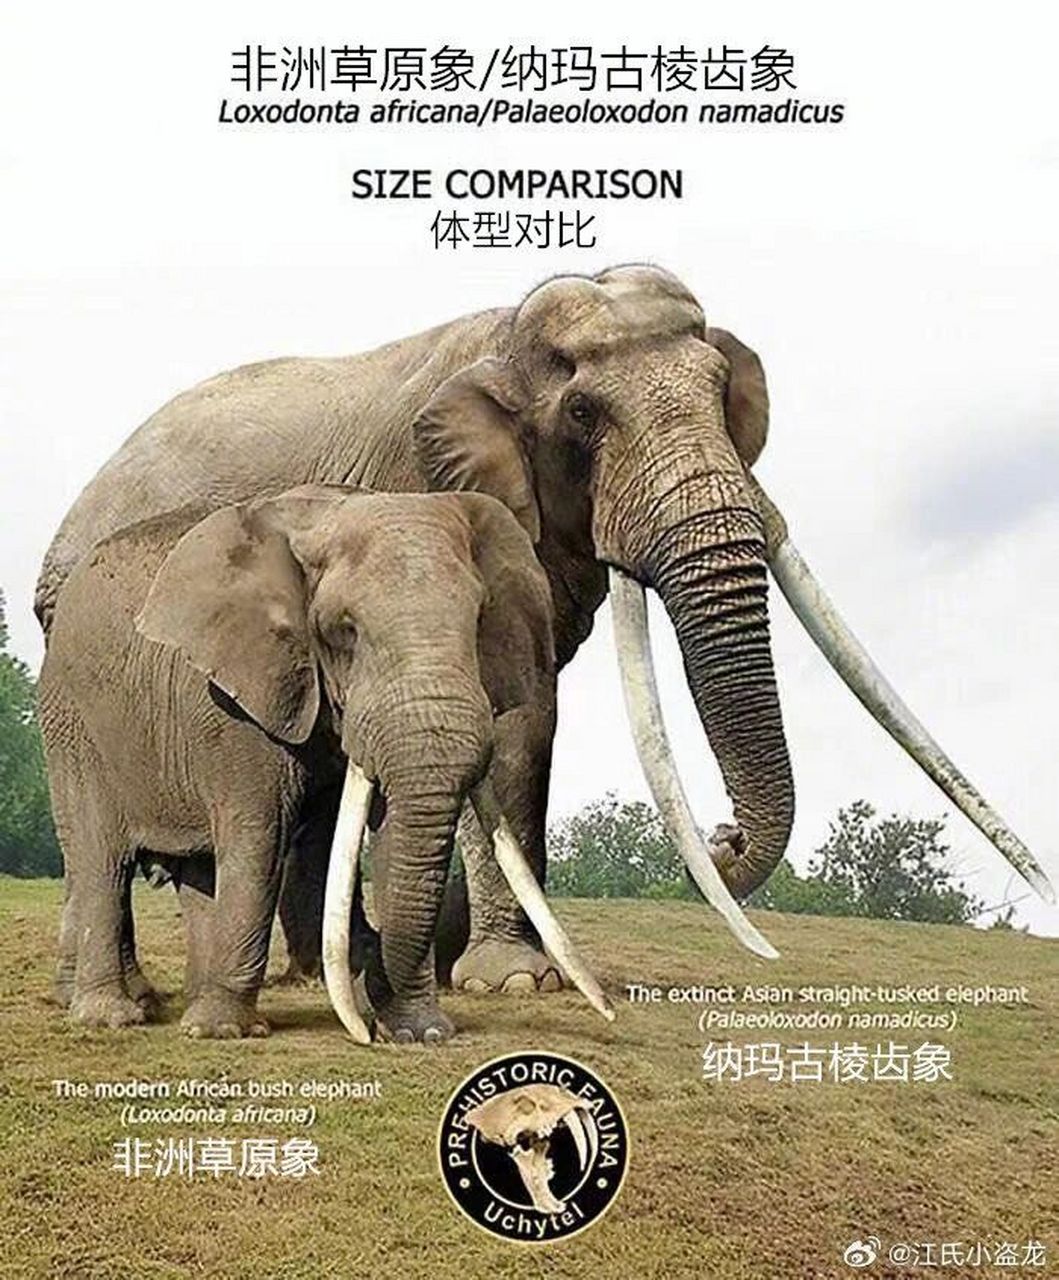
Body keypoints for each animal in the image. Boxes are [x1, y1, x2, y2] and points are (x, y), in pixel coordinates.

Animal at [39, 485, 610, 1041]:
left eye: (477, 623)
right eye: (344, 630)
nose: (368, 1024)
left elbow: (389, 833)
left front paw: (420, 1032)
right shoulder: (236, 700)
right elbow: (259, 836)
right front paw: (227, 1031)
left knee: (196, 869)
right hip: (72, 725)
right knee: (102, 859)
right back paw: (115, 1017)